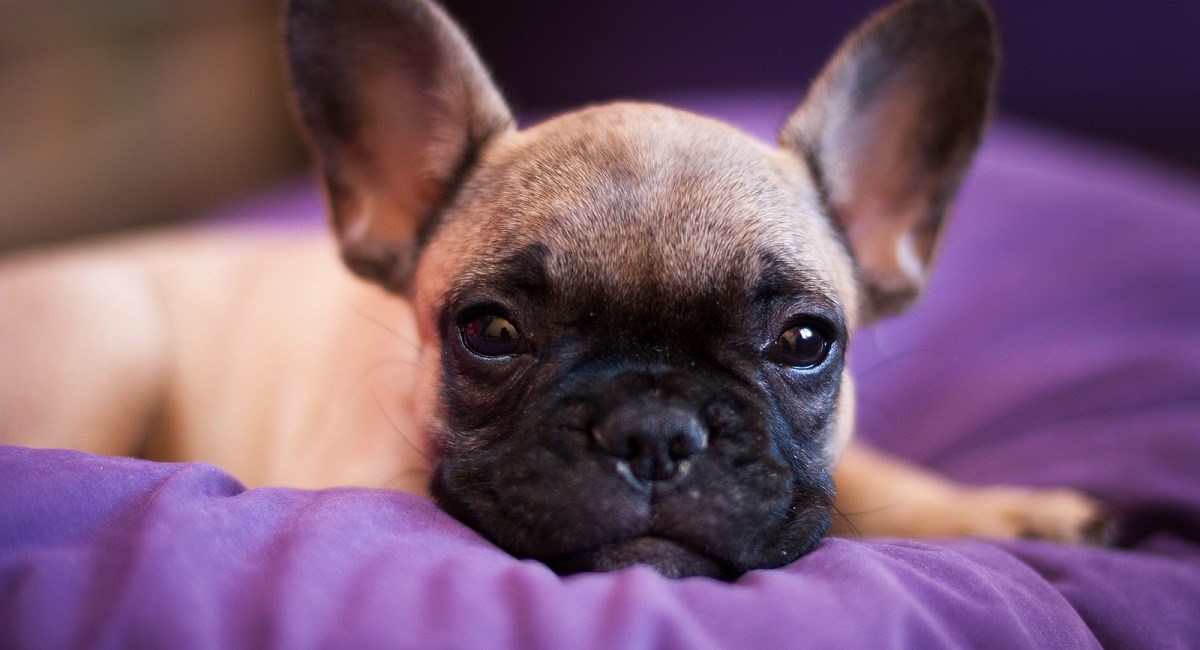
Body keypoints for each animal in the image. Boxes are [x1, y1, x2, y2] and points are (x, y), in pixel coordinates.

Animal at [0, 0, 1104, 580]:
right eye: (487, 332)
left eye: (804, 341)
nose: (654, 431)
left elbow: (866, 474)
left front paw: (1012, 511)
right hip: (109, 330)